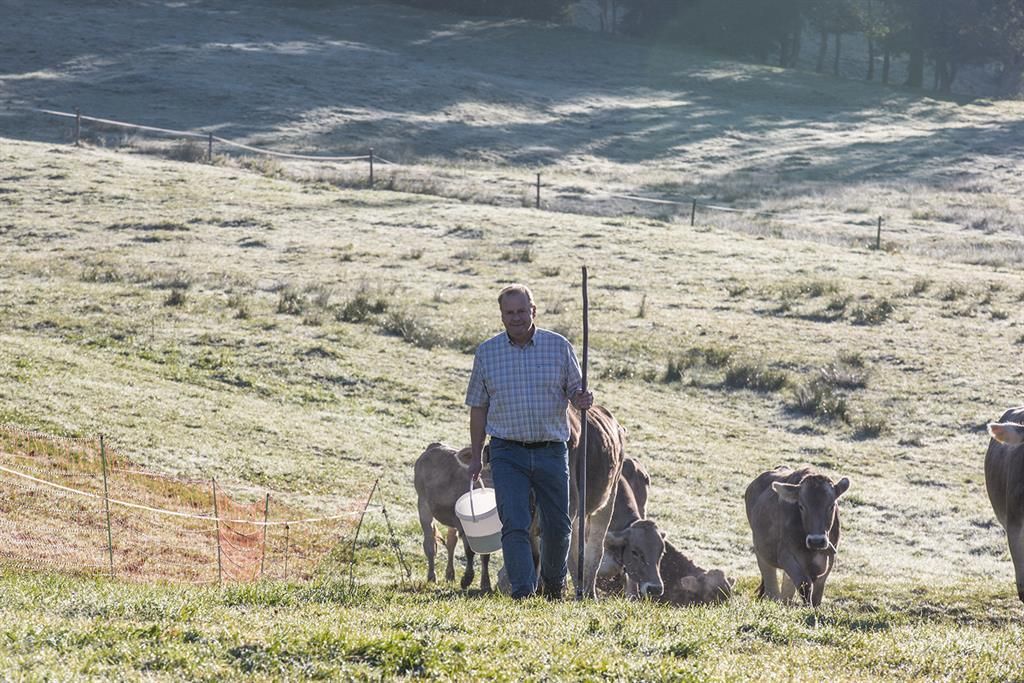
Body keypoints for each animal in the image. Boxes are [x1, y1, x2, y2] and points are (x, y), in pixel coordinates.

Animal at [413, 444, 489, 593]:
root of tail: (435, 445)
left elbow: (485, 555)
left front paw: (485, 584)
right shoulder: (464, 526)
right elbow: (470, 551)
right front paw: (467, 579)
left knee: (451, 542)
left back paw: (450, 575)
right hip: (423, 504)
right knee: (430, 544)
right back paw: (432, 576)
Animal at [745, 466, 847, 606]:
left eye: (832, 505)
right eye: (801, 506)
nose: (816, 541)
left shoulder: (829, 559)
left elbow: (817, 593)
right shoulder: (786, 555)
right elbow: (805, 585)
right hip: (761, 551)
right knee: (771, 584)